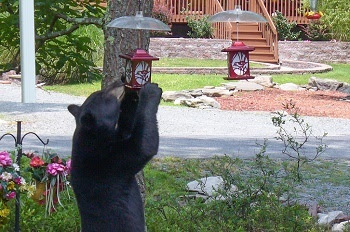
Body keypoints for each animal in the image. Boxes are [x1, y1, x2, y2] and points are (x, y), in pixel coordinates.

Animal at [67, 82, 162, 231]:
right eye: (104, 94)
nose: (119, 82)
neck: (93, 135)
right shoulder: (106, 161)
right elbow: (142, 146)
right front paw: (150, 91)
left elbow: (127, 130)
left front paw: (132, 97)